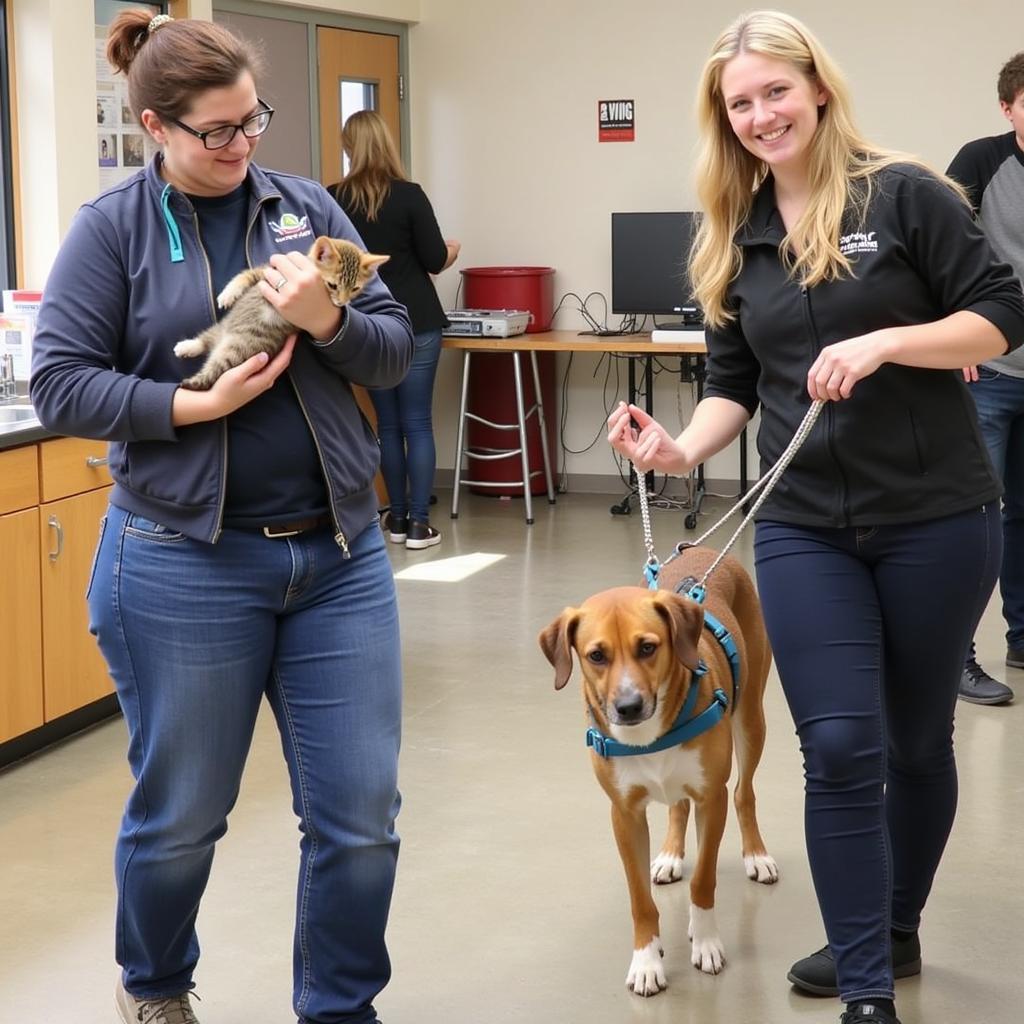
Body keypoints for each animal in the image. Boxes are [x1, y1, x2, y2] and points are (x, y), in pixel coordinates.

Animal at [175, 235, 387, 391]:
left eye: (355, 288)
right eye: (333, 285)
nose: (342, 303)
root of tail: (223, 338)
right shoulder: (268, 270)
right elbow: (245, 275)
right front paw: (228, 293)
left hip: (237, 350)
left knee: (214, 370)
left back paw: (191, 381)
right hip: (221, 328)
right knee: (205, 341)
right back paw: (187, 346)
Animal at [536, 548, 774, 995]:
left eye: (648, 647)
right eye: (596, 656)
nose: (628, 707)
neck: (650, 735)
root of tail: (703, 551)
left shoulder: (711, 799)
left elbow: (704, 880)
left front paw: (707, 942)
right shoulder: (624, 815)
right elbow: (639, 900)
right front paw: (646, 961)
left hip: (751, 717)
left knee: (744, 793)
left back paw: (756, 855)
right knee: (676, 806)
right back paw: (669, 856)